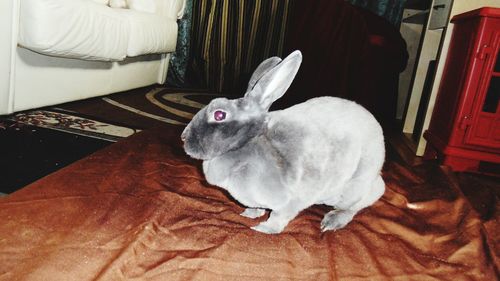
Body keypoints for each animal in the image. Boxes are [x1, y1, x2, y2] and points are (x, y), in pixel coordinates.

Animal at [182, 50, 384, 234]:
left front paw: (263, 228)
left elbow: (279, 217)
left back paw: (333, 221)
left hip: (349, 189)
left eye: (219, 115)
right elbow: (258, 206)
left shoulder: (291, 201)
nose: (183, 137)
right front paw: (250, 213)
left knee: (362, 201)